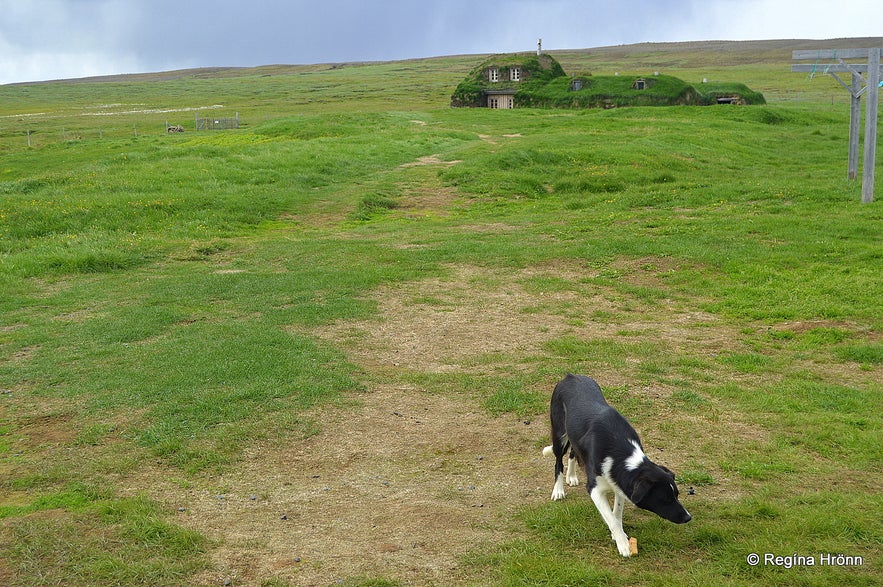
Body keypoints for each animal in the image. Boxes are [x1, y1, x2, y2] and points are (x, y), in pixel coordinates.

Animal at [544, 374, 696, 560]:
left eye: (677, 495)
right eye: (665, 499)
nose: (688, 517)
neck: (620, 449)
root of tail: (570, 376)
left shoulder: (619, 482)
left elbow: (616, 514)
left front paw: (619, 535)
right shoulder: (595, 488)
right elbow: (610, 517)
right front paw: (623, 543)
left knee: (573, 451)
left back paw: (571, 476)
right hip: (559, 434)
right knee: (558, 462)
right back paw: (558, 490)